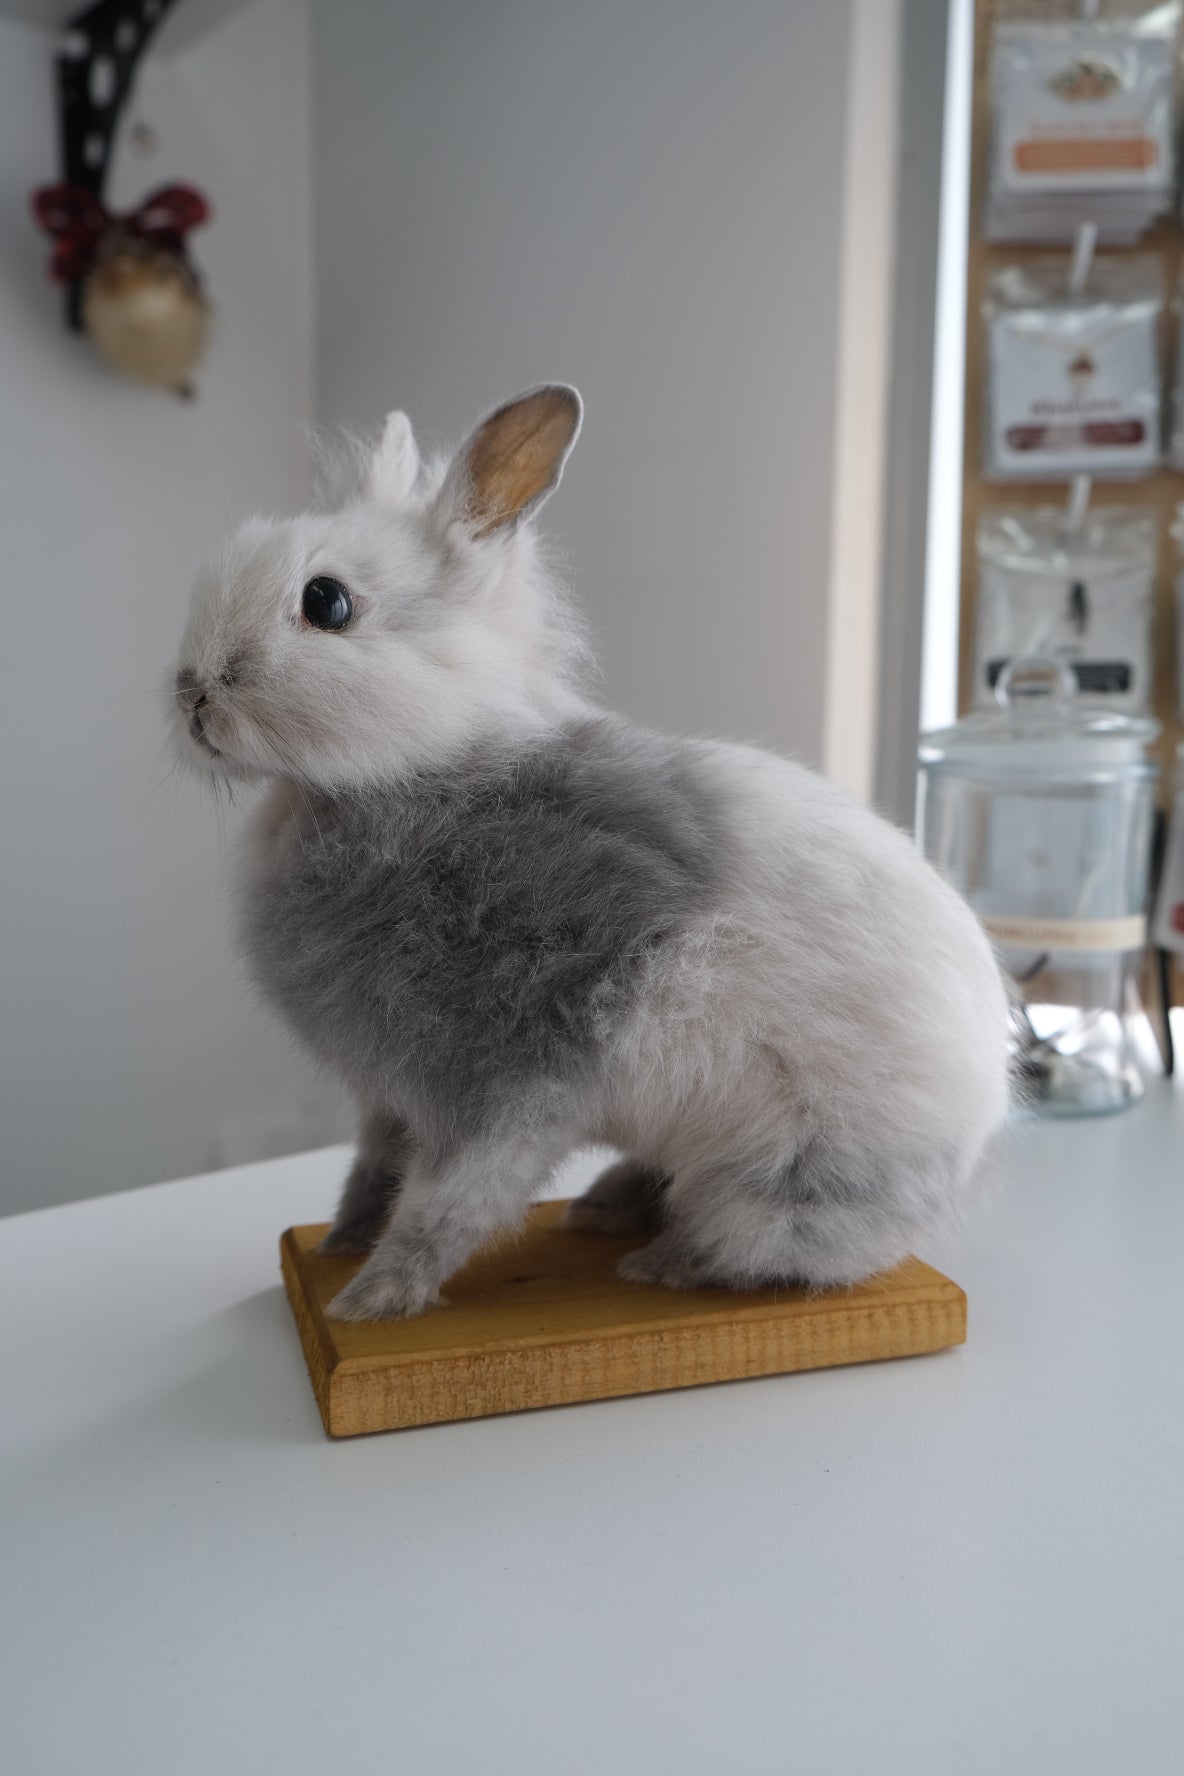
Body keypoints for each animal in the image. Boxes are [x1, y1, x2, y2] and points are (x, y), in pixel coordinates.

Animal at [175, 381, 1008, 1321]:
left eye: (326, 604)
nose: (191, 692)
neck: (410, 772)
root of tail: (981, 1131)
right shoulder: (391, 1097)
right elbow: (374, 1169)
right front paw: (340, 1247)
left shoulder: (508, 1080)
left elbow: (450, 1202)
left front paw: (371, 1301)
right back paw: (605, 1207)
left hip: (784, 1183)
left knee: (780, 1252)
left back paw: (665, 1262)